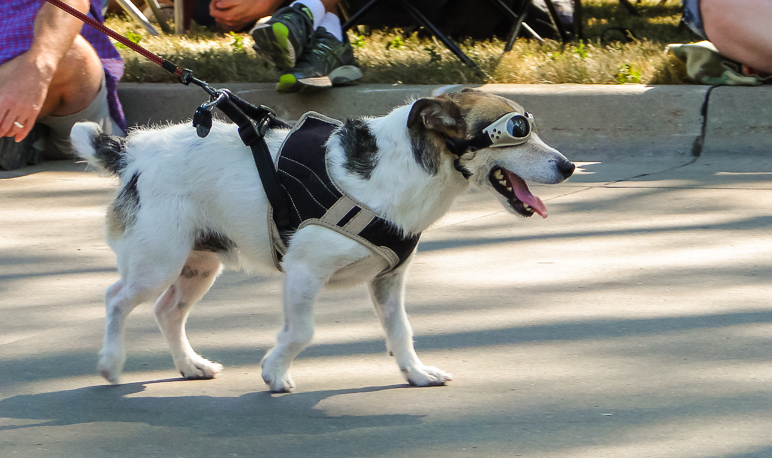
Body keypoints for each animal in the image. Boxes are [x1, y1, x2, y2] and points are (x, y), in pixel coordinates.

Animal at [71, 87, 572, 392]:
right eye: (515, 131)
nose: (568, 167)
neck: (402, 169)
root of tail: (135, 152)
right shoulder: (303, 272)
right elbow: (302, 331)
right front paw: (274, 371)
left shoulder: (389, 281)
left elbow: (401, 330)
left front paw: (414, 372)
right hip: (157, 262)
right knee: (117, 299)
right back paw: (111, 362)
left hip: (197, 265)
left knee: (167, 311)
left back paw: (189, 365)